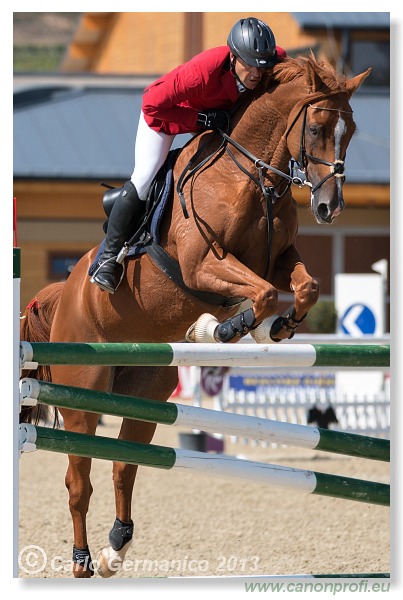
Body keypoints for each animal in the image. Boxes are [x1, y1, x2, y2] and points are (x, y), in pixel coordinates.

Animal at [20, 56, 370, 576]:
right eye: (317, 128)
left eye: (352, 131)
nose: (330, 207)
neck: (252, 178)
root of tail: (63, 295)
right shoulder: (201, 263)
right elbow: (263, 294)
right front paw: (219, 328)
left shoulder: (277, 257)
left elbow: (302, 286)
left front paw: (276, 329)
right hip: (82, 392)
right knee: (79, 479)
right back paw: (83, 560)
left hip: (146, 393)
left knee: (124, 465)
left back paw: (115, 547)